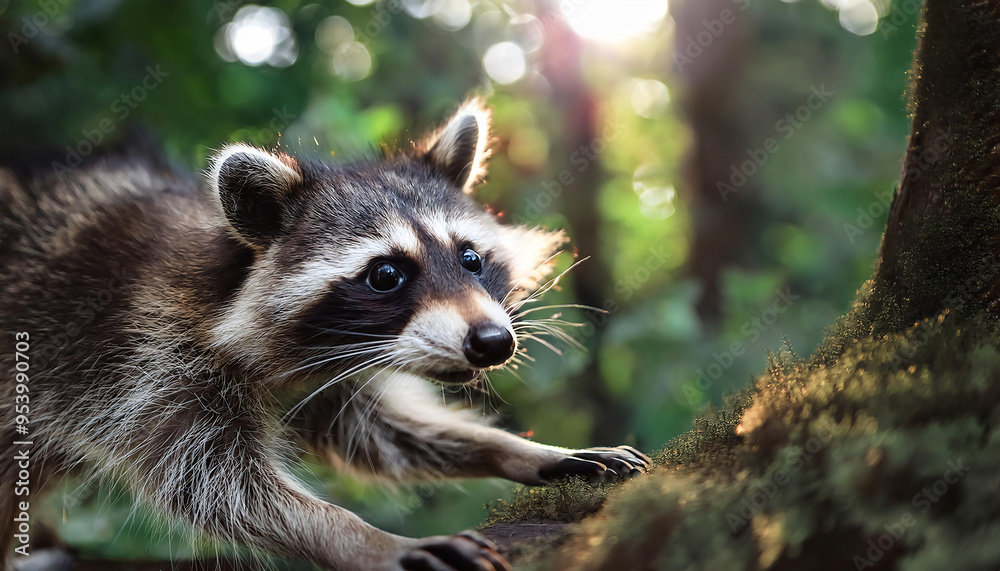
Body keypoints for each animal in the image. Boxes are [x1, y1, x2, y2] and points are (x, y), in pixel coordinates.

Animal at [0, 100, 649, 570]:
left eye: (470, 259)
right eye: (386, 274)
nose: (493, 343)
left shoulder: (335, 369)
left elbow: (385, 434)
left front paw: (519, 450)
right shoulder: (141, 356)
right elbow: (216, 487)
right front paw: (362, 538)